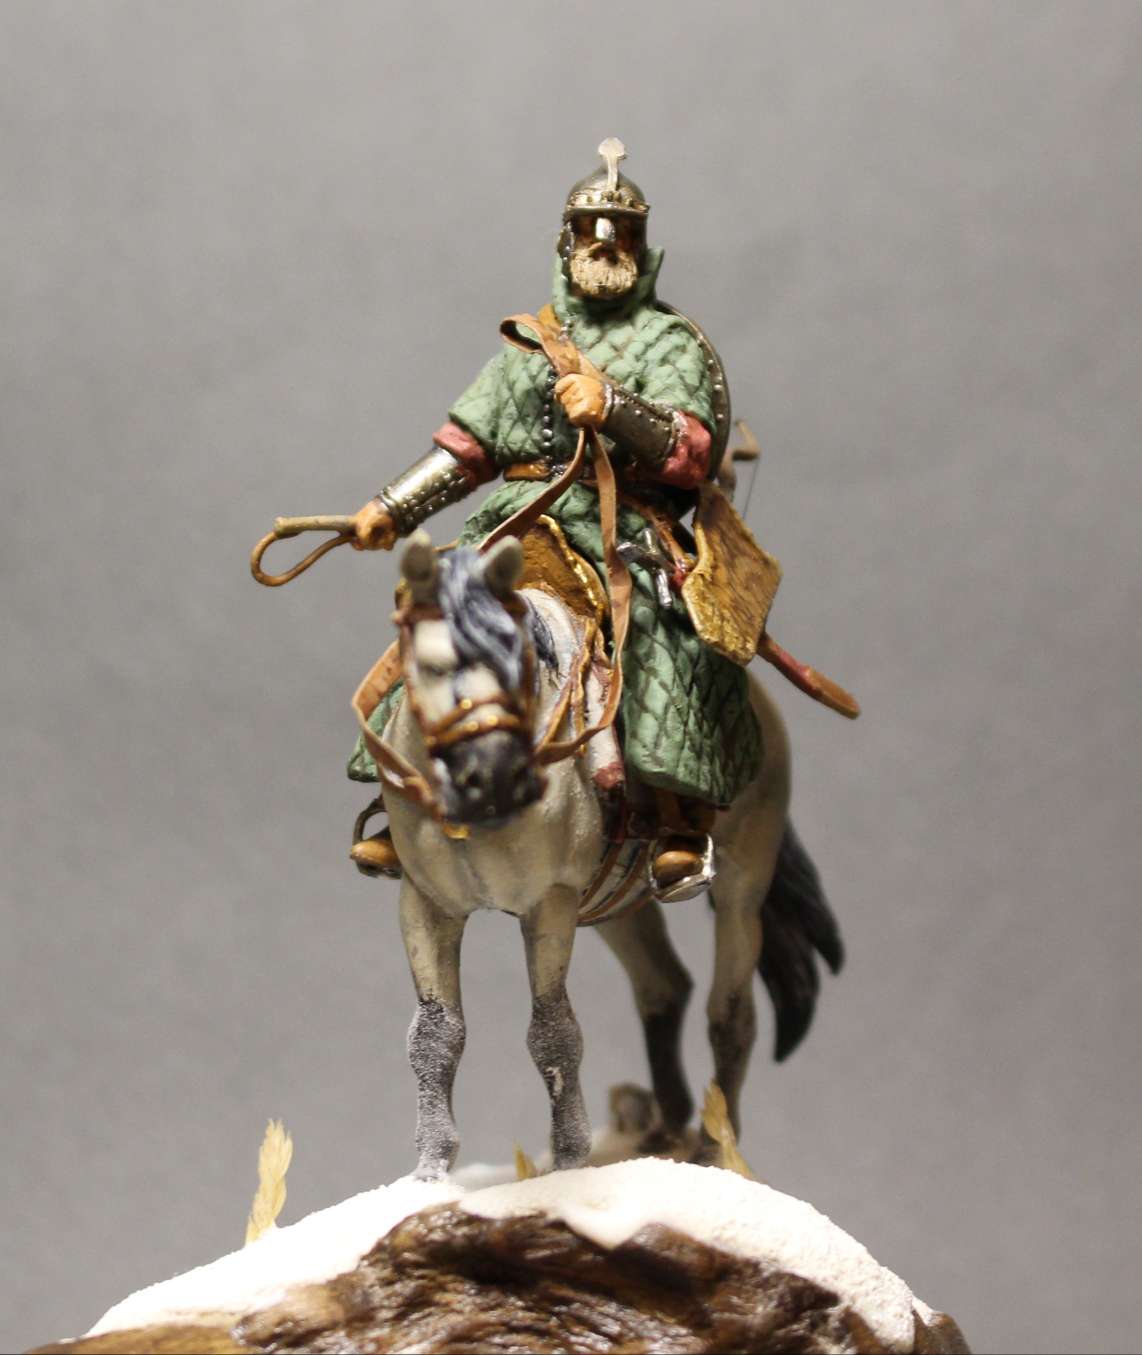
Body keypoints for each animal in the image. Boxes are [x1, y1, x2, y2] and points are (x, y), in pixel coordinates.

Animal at [371, 530, 843, 1181]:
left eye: (519, 662)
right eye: (432, 666)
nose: (494, 778)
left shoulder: (549, 905)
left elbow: (554, 1033)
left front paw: (569, 1160)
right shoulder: (425, 905)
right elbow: (435, 1035)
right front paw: (430, 1171)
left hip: (740, 882)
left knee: (731, 1014)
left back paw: (711, 1147)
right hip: (614, 906)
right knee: (664, 987)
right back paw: (661, 1132)